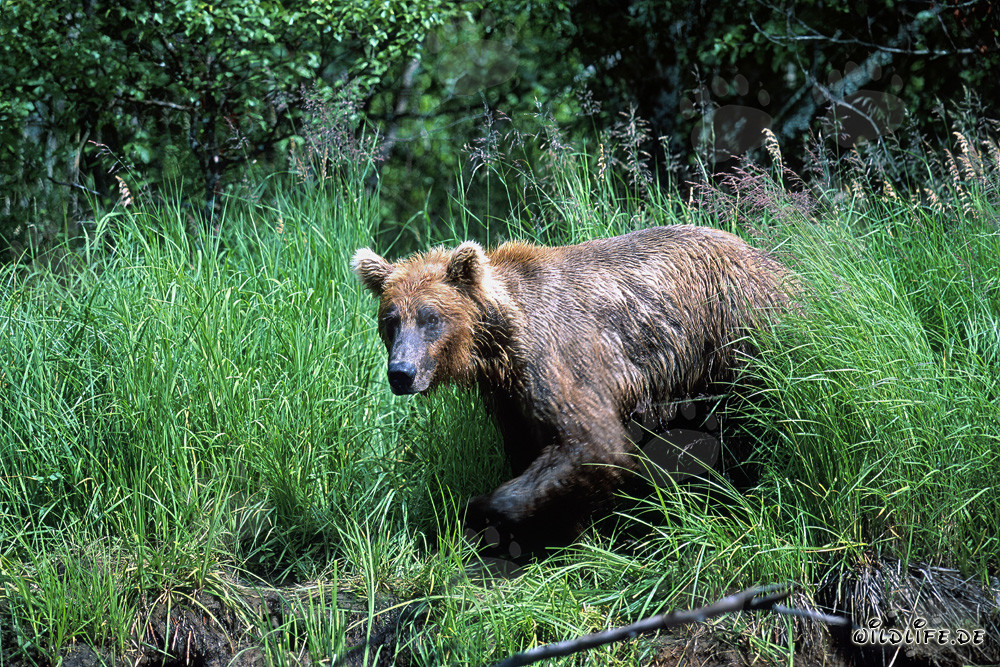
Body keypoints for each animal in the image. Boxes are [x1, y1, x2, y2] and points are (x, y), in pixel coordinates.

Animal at [352, 225, 792, 548]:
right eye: (391, 320)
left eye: (431, 318)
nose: (402, 372)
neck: (500, 344)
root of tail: (773, 263)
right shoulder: (509, 396)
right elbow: (528, 448)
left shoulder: (560, 359)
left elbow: (593, 444)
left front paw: (481, 510)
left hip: (736, 333)